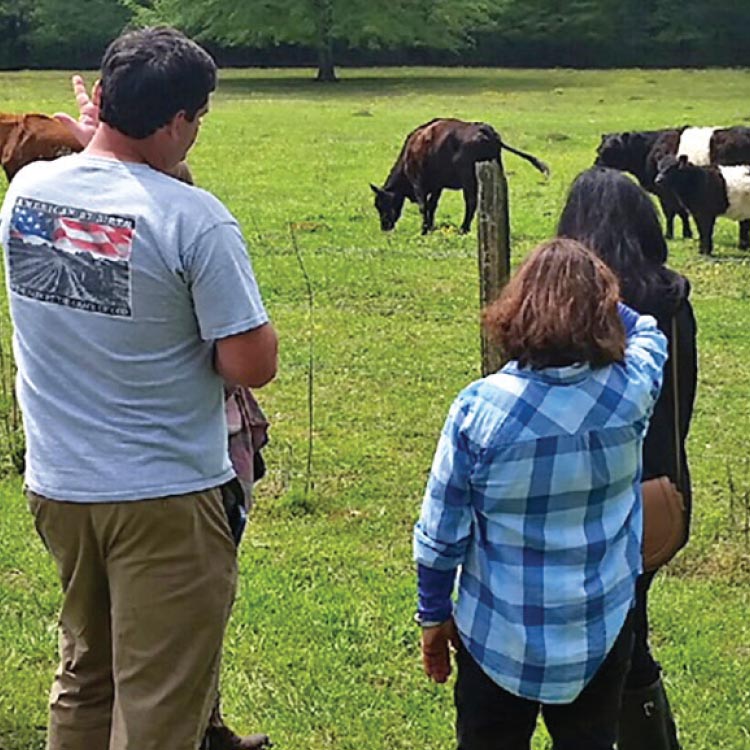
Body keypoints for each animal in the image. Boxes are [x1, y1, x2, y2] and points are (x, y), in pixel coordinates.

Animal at [372, 119, 552, 235]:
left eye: (381, 204)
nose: (384, 227)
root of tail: (484, 129)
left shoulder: (418, 182)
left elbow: (424, 206)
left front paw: (424, 229)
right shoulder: (438, 186)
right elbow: (432, 205)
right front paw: (430, 226)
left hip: (468, 178)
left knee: (471, 202)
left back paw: (463, 229)